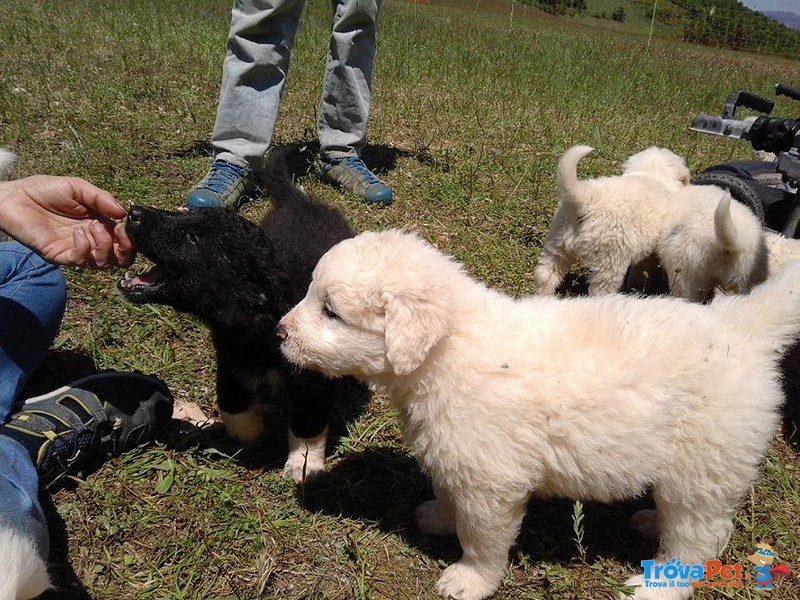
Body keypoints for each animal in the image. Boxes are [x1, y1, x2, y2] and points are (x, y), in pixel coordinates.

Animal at [117, 146, 354, 482]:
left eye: (192, 239)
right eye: (185, 215)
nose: (133, 212)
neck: (256, 323)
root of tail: (301, 201)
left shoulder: (310, 380)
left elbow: (307, 425)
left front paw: (304, 463)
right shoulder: (231, 358)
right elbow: (231, 402)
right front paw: (250, 433)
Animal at [280, 230, 800, 600]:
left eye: (331, 311)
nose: (280, 331)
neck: (447, 351)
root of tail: (741, 327)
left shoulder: (490, 484)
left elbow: (481, 539)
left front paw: (469, 581)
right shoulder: (456, 458)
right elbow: (448, 496)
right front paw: (438, 518)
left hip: (705, 465)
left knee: (699, 536)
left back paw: (658, 586)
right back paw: (652, 522)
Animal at [536, 145, 692, 296]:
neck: (652, 173)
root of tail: (586, 198)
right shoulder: (650, 254)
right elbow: (641, 272)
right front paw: (637, 289)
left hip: (557, 243)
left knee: (546, 276)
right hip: (610, 259)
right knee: (599, 290)